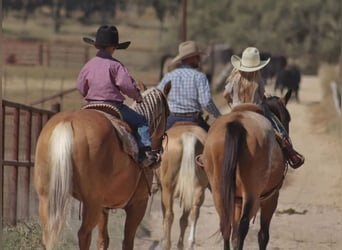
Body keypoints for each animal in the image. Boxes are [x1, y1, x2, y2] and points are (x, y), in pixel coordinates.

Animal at [34, 82, 171, 250]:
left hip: (46, 198)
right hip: (92, 202)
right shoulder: (138, 204)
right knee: (84, 234)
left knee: (48, 234)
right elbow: (127, 241)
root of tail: (68, 122)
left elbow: (103, 240)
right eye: (168, 113)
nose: (156, 155)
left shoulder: (103, 207)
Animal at [202, 90, 292, 250]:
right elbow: (263, 235)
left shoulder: (236, 201)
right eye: (288, 117)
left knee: (226, 225)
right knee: (243, 226)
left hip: (219, 190)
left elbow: (234, 232)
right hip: (251, 192)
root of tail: (237, 123)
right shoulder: (271, 198)